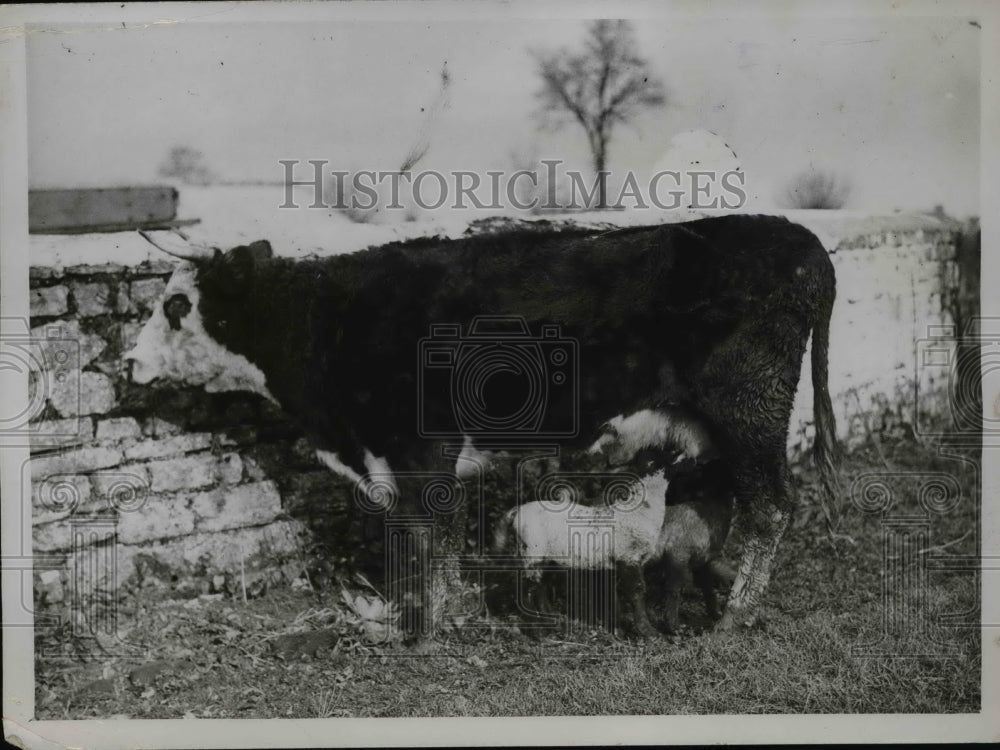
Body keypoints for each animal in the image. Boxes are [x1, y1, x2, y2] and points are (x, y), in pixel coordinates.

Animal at [127, 214, 844, 644]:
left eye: (177, 304)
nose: (129, 361)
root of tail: (799, 241)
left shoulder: (419, 452)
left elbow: (427, 538)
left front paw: (427, 627)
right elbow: (427, 540)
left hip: (748, 411)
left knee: (772, 507)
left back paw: (738, 612)